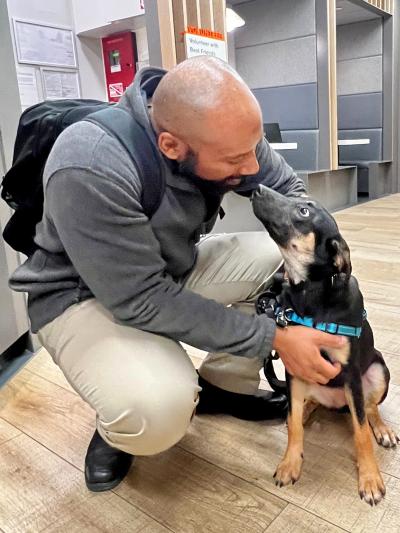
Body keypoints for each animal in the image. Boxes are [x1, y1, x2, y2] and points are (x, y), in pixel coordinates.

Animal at [252, 185, 398, 504]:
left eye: (304, 211)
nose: (256, 188)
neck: (311, 292)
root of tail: (337, 403)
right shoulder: (295, 366)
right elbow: (294, 425)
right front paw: (290, 463)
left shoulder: (351, 373)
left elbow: (361, 432)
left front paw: (370, 479)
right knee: (305, 407)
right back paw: (305, 410)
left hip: (378, 371)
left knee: (369, 409)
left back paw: (382, 429)